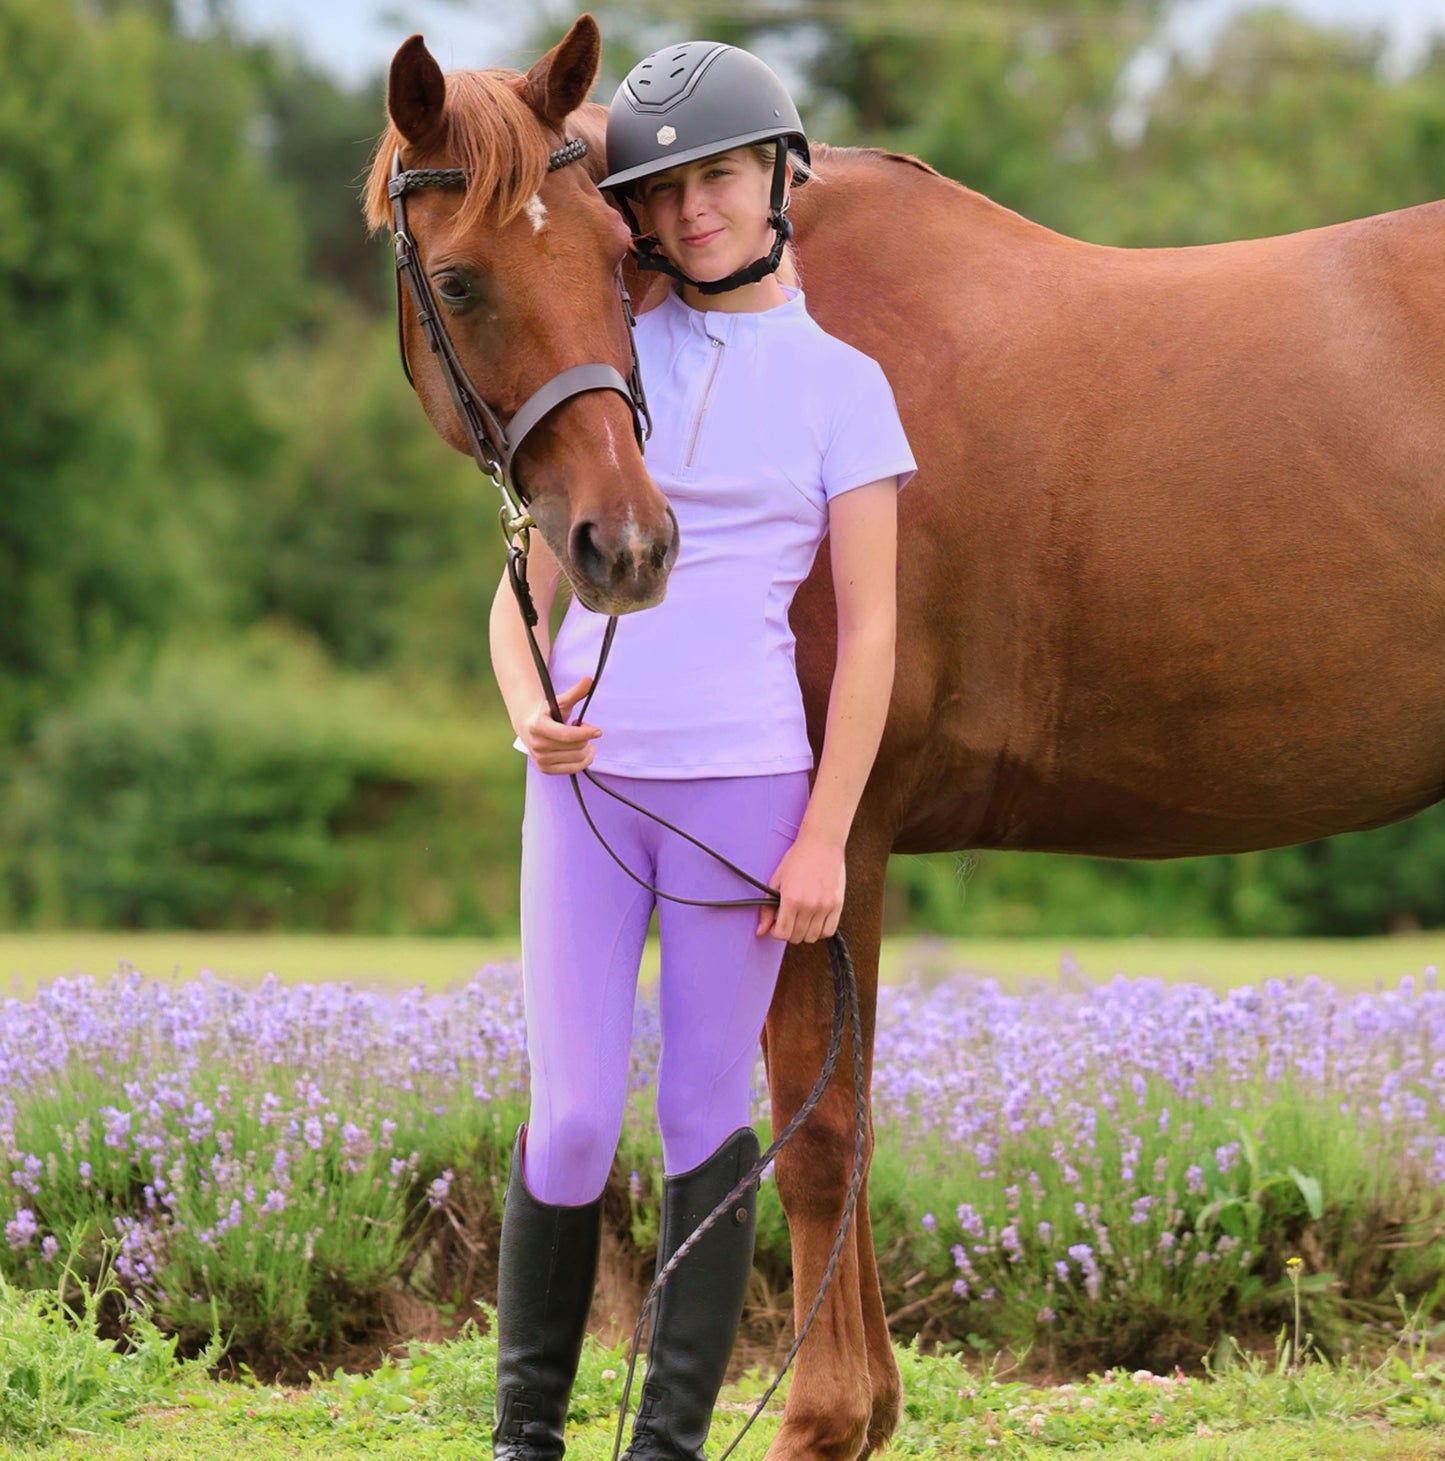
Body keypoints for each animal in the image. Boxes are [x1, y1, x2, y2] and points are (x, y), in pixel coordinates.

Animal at [366, 14, 1445, 1460]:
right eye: (464, 279)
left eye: (604, 256)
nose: (624, 546)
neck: (779, 318)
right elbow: (849, 1114)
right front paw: (865, 1410)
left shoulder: (830, 842)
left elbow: (814, 1132)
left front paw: (818, 1421)